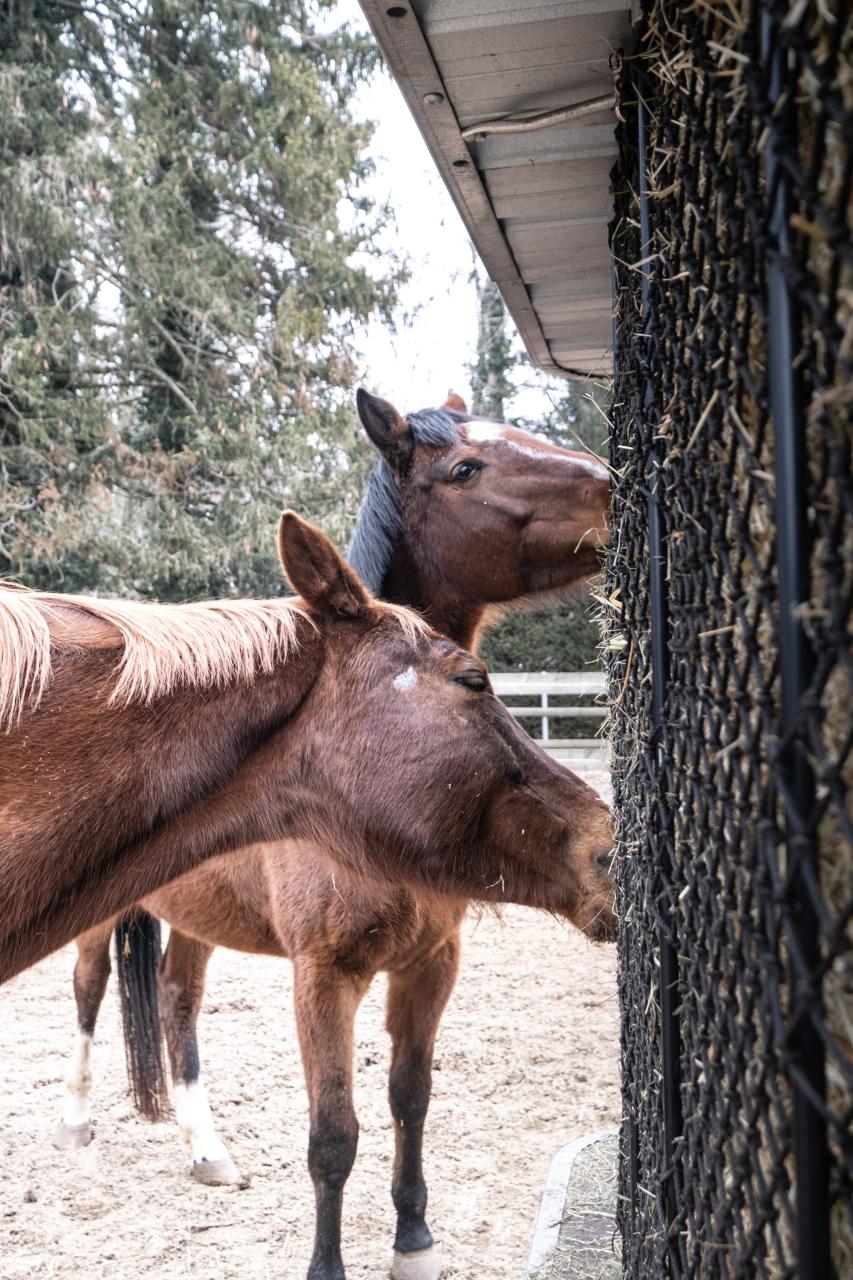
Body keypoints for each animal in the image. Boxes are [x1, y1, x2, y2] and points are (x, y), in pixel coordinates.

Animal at [56, 391, 613, 1280]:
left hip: (198, 919)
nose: (612, 482)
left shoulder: (429, 963)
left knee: (177, 1000)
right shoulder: (323, 976)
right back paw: (76, 1121)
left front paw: (413, 1238)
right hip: (102, 912)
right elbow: (332, 1137)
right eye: (466, 468)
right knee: (88, 986)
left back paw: (207, 1149)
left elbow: (409, 1097)